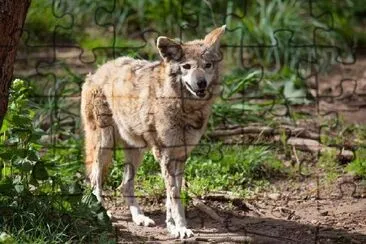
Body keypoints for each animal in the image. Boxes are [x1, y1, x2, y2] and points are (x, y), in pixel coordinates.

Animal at [81, 24, 226, 238]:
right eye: (187, 67)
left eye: (207, 65)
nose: (201, 83)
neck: (186, 109)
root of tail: (98, 70)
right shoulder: (164, 156)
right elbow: (174, 196)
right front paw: (180, 228)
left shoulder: (180, 156)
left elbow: (173, 196)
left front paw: (173, 226)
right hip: (104, 145)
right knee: (94, 181)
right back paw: (103, 213)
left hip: (136, 151)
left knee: (124, 185)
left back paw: (140, 218)